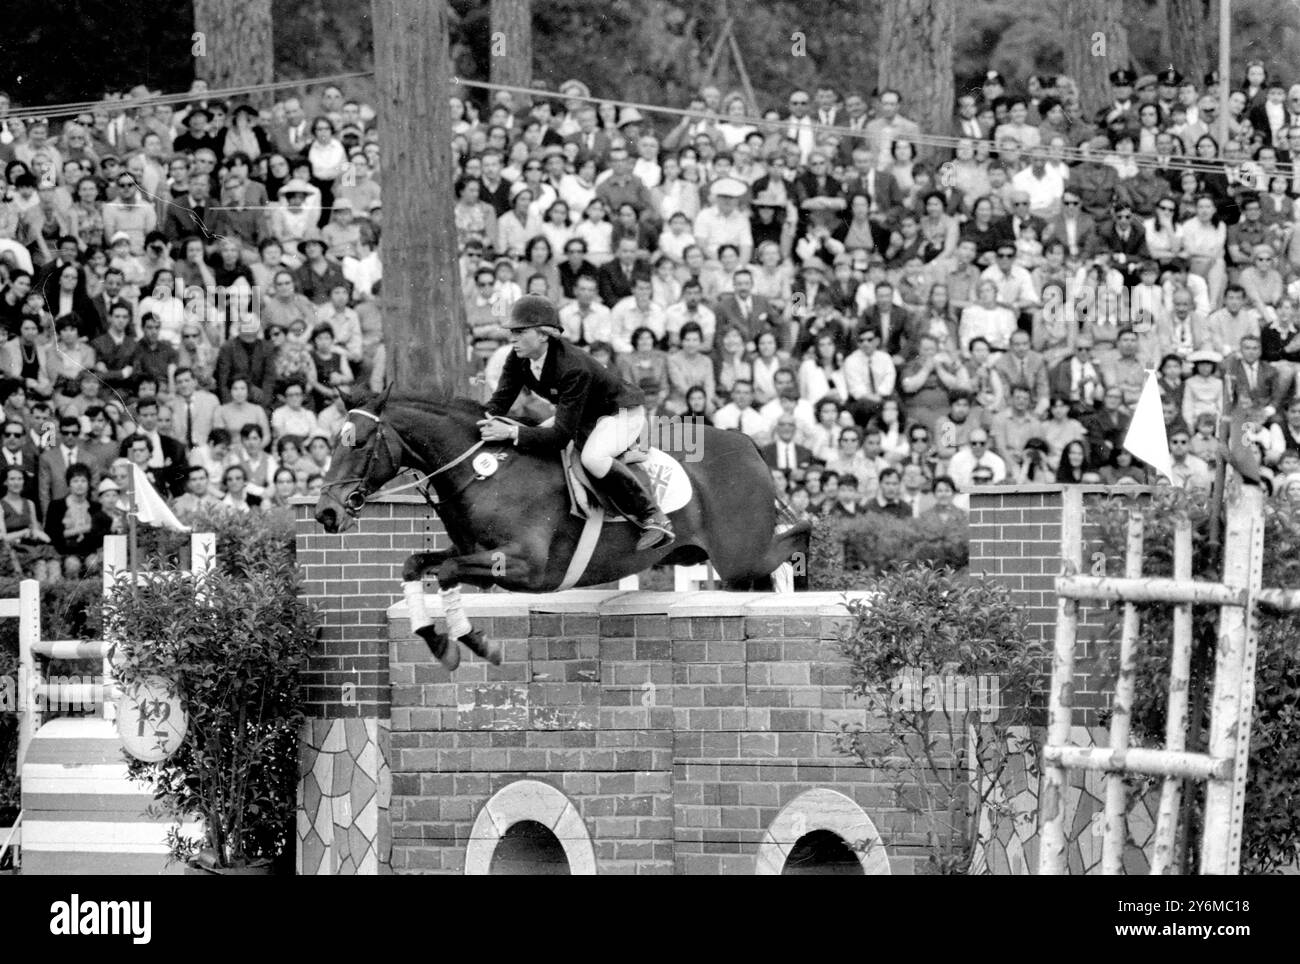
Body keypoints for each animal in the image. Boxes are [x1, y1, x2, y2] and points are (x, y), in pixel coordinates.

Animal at [312, 389, 811, 670]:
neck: (484, 471)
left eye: (358, 444)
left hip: (739, 557)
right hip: (716, 560)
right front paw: (438, 643)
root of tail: (747, 444)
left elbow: (449, 573)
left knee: (794, 541)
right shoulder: (474, 555)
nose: (326, 514)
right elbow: (416, 564)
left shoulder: (527, 569)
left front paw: (477, 644)